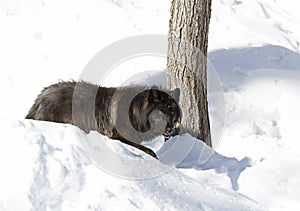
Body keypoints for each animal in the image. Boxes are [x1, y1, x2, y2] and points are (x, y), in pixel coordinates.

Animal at [25, 81, 180, 158]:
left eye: (172, 113)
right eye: (161, 114)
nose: (171, 129)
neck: (134, 111)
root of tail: (39, 98)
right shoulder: (116, 137)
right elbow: (150, 151)